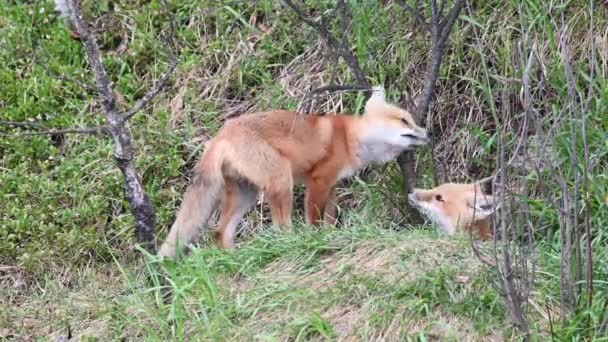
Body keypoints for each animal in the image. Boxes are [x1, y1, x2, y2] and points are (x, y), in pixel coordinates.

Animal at [159, 87, 430, 258]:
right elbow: (314, 220)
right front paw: (315, 241)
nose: (428, 133)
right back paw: (289, 245)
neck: (349, 138)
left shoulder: (332, 186)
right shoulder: (318, 181)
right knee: (280, 227)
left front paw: (331, 238)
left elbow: (329, 220)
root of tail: (220, 135)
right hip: (281, 181)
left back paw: (235, 258)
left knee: (220, 232)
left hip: (246, 194)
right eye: (404, 121)